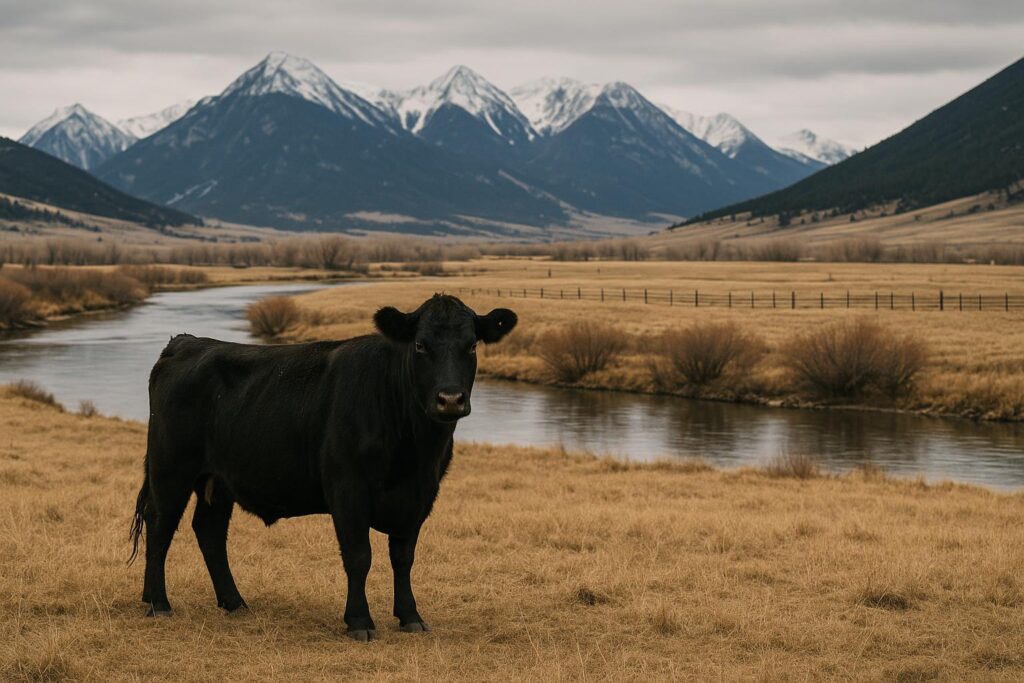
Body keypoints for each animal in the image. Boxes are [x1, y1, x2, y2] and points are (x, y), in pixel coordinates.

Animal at [128, 293, 517, 641]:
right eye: (420, 345)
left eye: (472, 346)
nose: (450, 399)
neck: (415, 451)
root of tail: (187, 342)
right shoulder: (347, 489)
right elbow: (359, 556)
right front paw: (359, 621)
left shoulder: (421, 495)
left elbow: (403, 557)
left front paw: (410, 617)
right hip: (171, 468)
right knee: (160, 526)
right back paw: (159, 603)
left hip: (218, 480)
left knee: (209, 531)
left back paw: (234, 602)